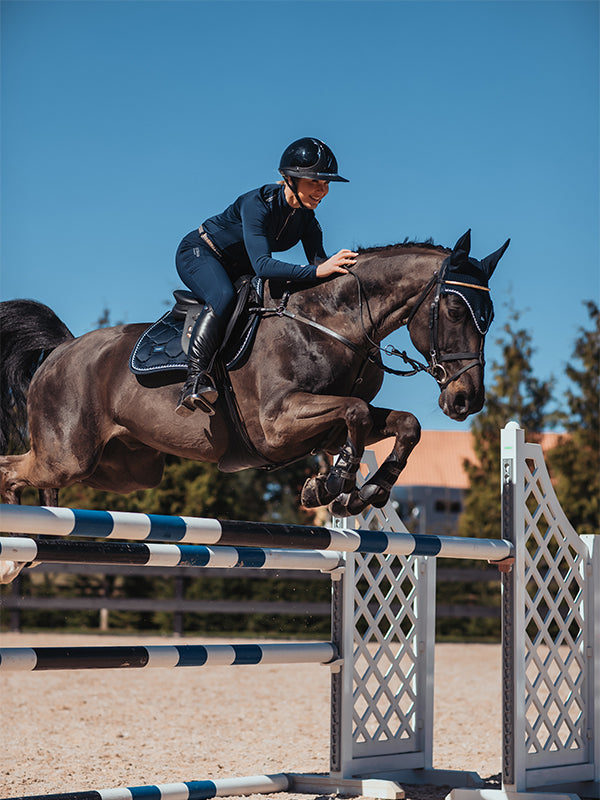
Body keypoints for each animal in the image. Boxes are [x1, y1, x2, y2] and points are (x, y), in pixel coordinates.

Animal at [0, 229, 508, 582]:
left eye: (488, 318)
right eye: (456, 311)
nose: (466, 400)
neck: (332, 321)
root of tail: (60, 351)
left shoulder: (323, 421)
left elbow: (403, 424)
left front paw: (362, 491)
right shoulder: (278, 422)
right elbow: (358, 414)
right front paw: (332, 485)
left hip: (123, 469)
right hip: (68, 456)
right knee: (12, 469)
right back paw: (13, 552)